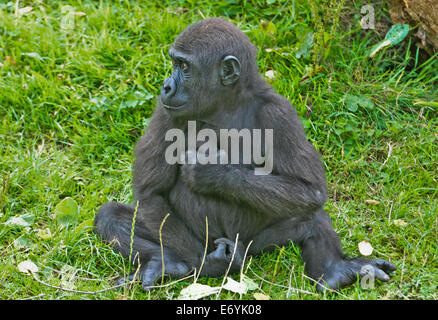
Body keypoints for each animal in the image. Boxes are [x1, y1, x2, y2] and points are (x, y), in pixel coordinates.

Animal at [94, 18, 396, 292]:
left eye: (184, 67)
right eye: (175, 64)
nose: (166, 86)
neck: (224, 104)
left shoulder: (279, 112)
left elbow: (310, 189)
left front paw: (213, 173)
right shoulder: (166, 111)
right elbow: (151, 193)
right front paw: (208, 264)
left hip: (254, 245)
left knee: (311, 216)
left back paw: (335, 270)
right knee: (110, 216)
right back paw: (168, 262)